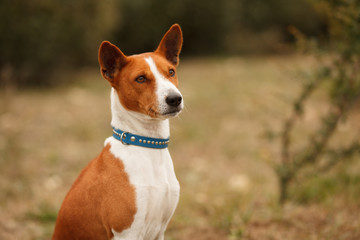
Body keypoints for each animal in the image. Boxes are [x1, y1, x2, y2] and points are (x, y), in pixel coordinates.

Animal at [51, 23, 183, 240]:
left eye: (171, 72)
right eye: (141, 78)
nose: (175, 98)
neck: (148, 147)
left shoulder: (159, 230)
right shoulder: (127, 232)